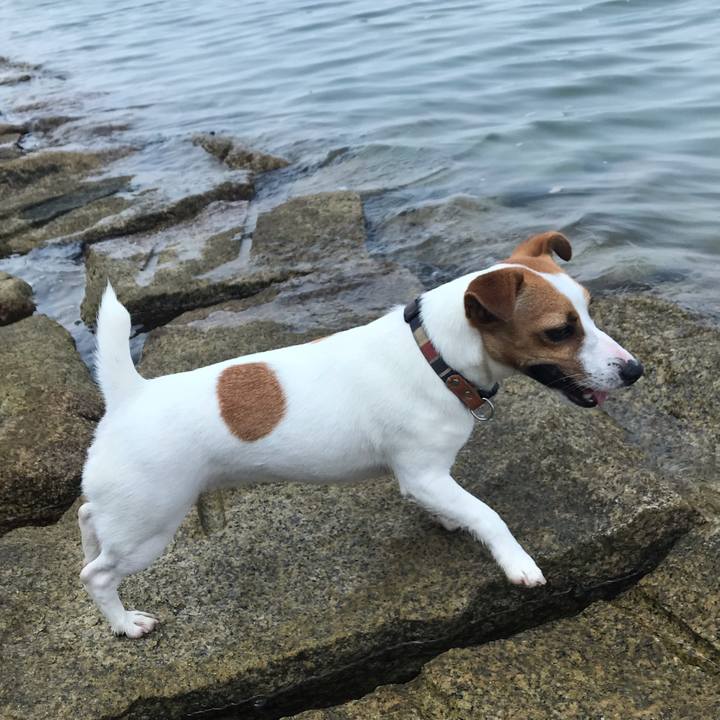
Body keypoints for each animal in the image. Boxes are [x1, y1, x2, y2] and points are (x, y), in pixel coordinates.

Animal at [79, 231, 643, 637]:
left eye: (590, 309)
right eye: (559, 331)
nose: (635, 370)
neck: (434, 355)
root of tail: (130, 395)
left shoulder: (430, 479)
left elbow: (461, 508)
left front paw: (451, 521)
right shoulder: (422, 474)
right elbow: (488, 513)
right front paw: (516, 562)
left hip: (126, 513)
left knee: (88, 517)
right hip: (149, 526)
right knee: (97, 576)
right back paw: (125, 624)